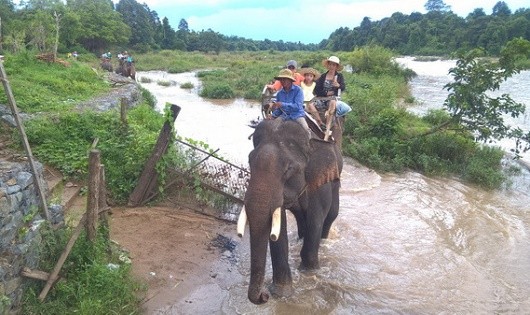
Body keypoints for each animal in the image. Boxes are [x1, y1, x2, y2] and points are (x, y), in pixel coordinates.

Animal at [236, 117, 342, 304]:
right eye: (249, 161)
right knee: (301, 220)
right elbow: (279, 224)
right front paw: (282, 293)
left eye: (288, 169)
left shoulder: (319, 181)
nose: (264, 296)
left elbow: (316, 218)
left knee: (330, 216)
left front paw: (310, 273)